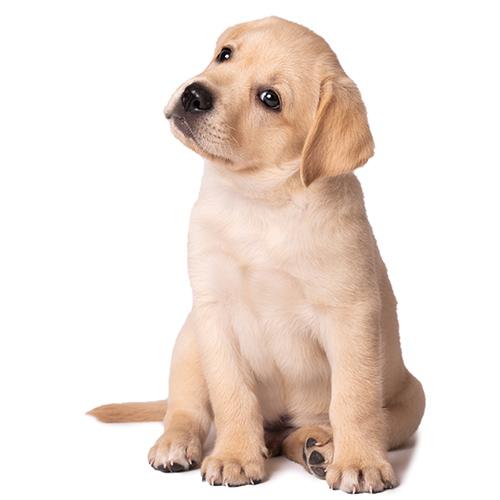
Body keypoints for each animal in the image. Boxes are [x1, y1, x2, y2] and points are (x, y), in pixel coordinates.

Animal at [88, 17, 424, 494]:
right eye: (225, 54)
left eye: (270, 98)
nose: (194, 94)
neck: (260, 203)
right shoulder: (214, 313)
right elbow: (231, 396)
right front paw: (234, 456)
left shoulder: (351, 314)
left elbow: (354, 400)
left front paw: (360, 462)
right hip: (188, 341)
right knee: (184, 408)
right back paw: (177, 444)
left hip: (413, 399)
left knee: (354, 421)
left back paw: (319, 446)